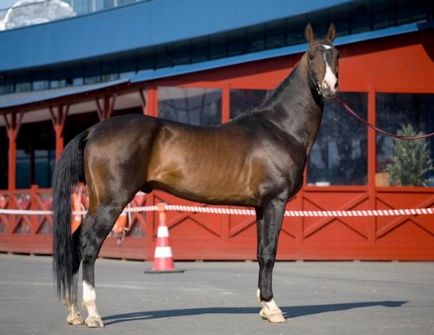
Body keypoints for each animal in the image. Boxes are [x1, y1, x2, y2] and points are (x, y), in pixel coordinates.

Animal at [52, 23, 340, 328]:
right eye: (312, 55)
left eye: (336, 55)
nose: (330, 86)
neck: (279, 127)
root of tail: (93, 130)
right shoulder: (276, 201)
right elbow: (270, 252)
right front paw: (273, 308)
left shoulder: (261, 206)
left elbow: (261, 253)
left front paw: (264, 305)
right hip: (111, 203)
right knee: (89, 245)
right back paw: (93, 313)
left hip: (96, 202)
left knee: (74, 243)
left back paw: (74, 313)